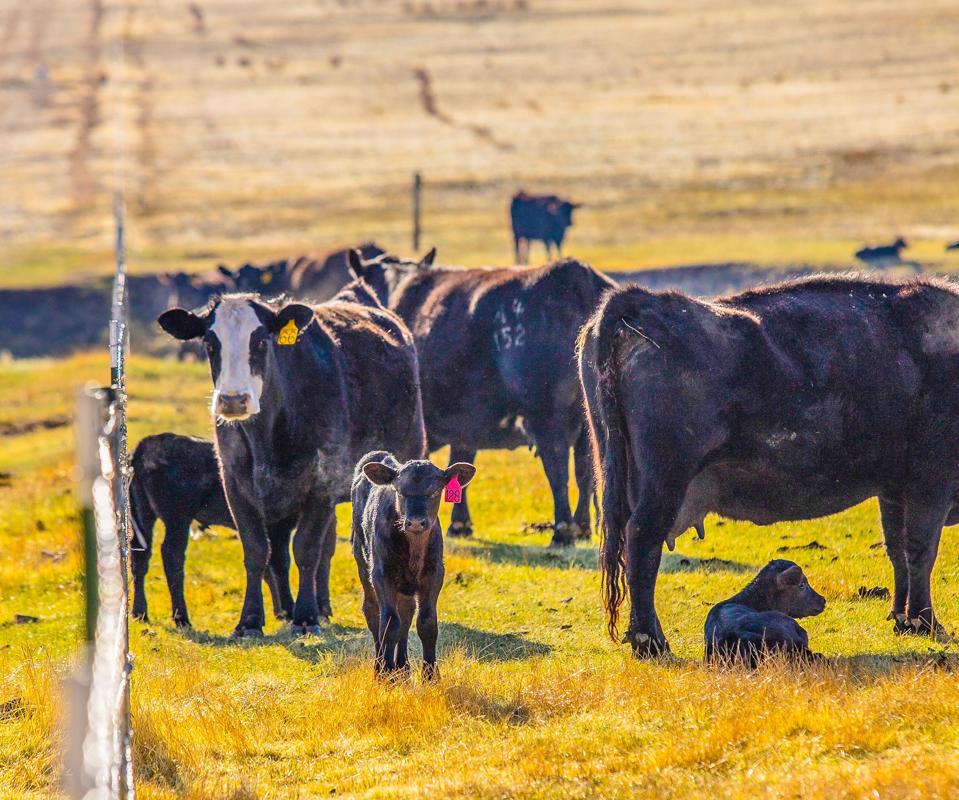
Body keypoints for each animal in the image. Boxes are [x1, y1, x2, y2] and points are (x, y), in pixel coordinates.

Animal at [157, 279, 427, 637]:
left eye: (261, 340)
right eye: (210, 343)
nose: (233, 400)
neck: (266, 439)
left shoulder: (322, 483)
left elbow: (307, 550)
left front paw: (306, 617)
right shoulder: (236, 485)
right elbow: (258, 551)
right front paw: (251, 620)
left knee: (321, 549)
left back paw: (313, 608)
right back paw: (296, 607)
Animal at [350, 250, 614, 547]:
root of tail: (574, 275)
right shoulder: (466, 420)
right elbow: (461, 459)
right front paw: (461, 523)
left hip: (546, 415)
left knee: (557, 465)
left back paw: (563, 530)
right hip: (587, 419)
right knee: (586, 468)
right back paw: (581, 527)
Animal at [351, 451, 475, 679]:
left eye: (435, 491)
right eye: (400, 491)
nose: (416, 522)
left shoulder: (434, 574)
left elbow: (426, 623)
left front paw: (431, 675)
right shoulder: (381, 575)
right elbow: (389, 624)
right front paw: (386, 674)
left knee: (406, 614)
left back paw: (403, 667)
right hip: (363, 565)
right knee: (373, 613)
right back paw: (381, 667)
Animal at [578, 274, 959, 657]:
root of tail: (643, 304)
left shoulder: (895, 489)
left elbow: (897, 550)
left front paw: (901, 618)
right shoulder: (931, 482)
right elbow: (920, 551)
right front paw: (925, 622)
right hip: (665, 483)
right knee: (642, 543)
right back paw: (651, 641)